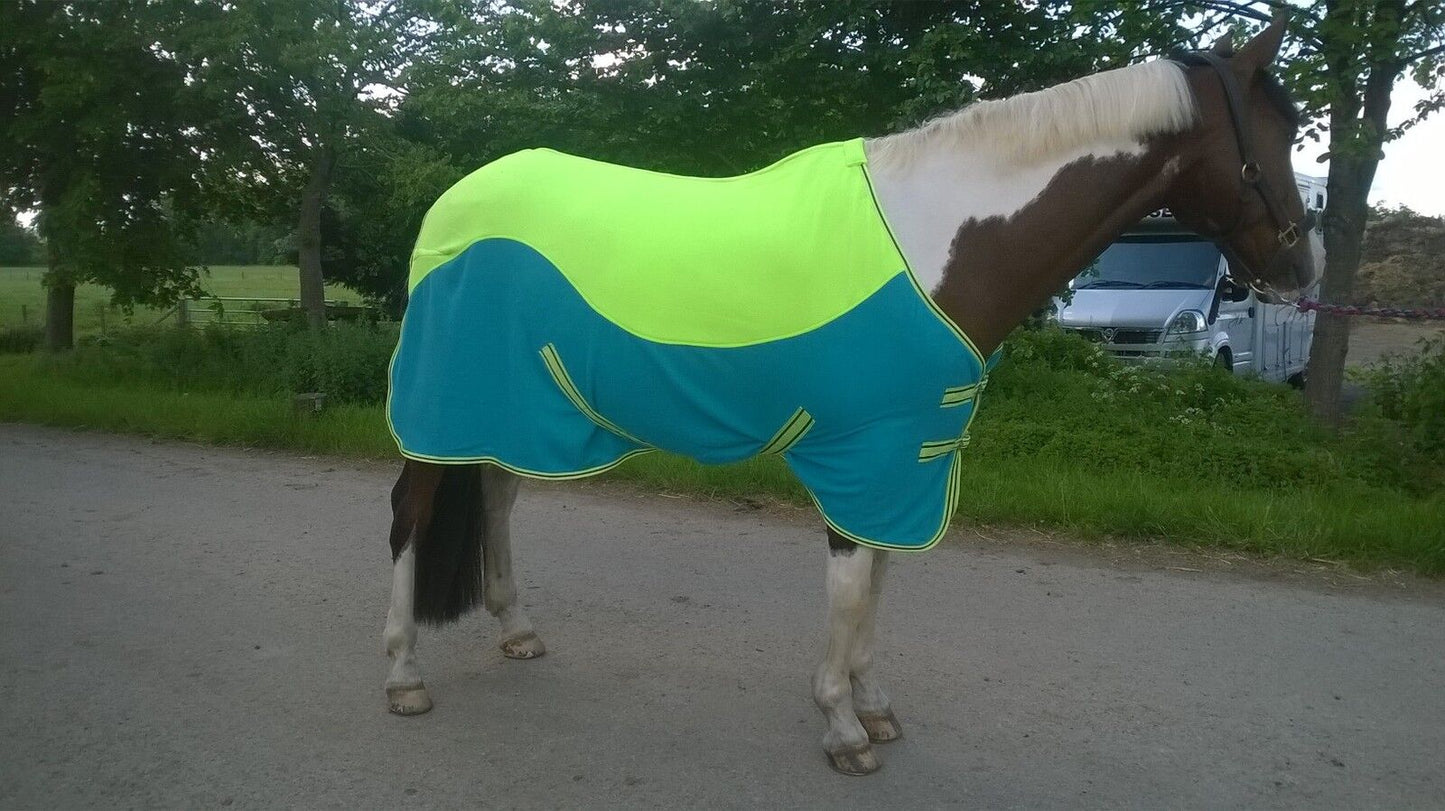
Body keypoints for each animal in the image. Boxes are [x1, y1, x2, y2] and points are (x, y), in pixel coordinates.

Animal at [380, 17, 1314, 775]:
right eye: (1273, 134)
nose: (1296, 272)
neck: (939, 242)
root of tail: (451, 204)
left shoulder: (908, 456)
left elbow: (879, 578)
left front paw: (873, 706)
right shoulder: (859, 451)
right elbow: (850, 584)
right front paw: (841, 727)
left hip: (511, 409)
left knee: (494, 496)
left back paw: (516, 630)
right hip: (440, 402)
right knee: (411, 514)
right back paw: (402, 674)